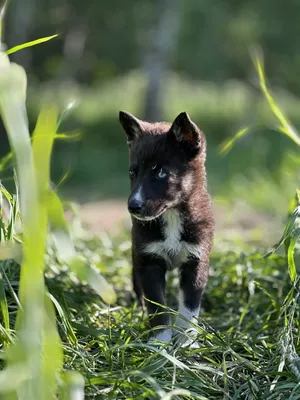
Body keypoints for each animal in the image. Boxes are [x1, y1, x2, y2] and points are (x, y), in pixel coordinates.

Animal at [118, 111, 214, 342]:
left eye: (160, 172)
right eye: (132, 173)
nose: (133, 206)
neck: (171, 216)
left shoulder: (196, 260)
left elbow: (189, 307)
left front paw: (186, 341)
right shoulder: (148, 261)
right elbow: (157, 306)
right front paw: (159, 342)